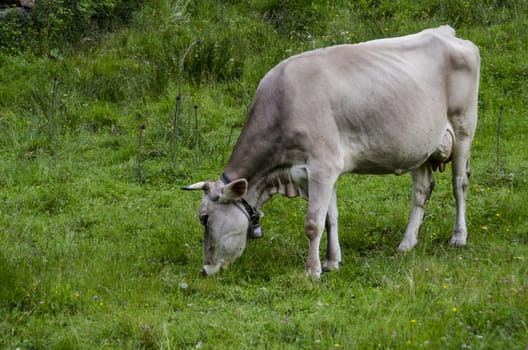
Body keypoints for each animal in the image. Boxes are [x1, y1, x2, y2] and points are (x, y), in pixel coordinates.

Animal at [184, 26, 480, 278]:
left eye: (204, 218)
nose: (205, 270)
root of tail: (446, 32)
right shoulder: (320, 172)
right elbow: (330, 218)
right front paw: (331, 262)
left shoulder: (322, 167)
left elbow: (313, 222)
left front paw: (312, 270)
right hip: (421, 146)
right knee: (422, 191)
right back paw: (407, 243)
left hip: (464, 128)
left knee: (459, 184)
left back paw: (458, 237)